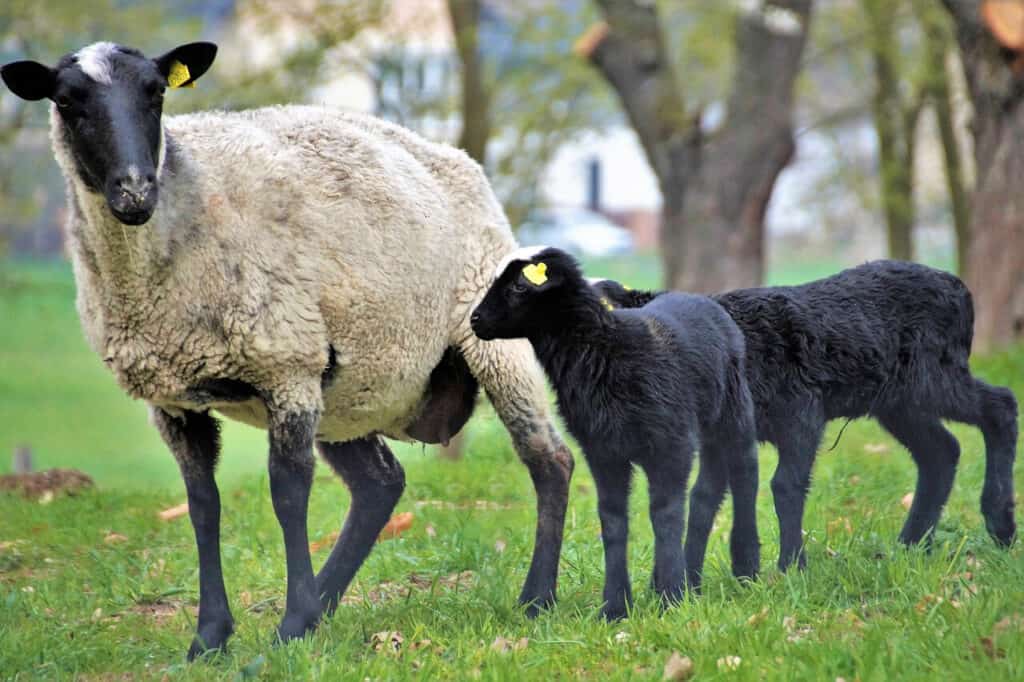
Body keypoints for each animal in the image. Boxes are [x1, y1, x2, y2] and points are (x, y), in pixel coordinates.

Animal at [1, 41, 576, 658]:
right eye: (66, 101)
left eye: (156, 93)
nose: (134, 192)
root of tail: (453, 155)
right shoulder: (173, 399)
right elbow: (202, 504)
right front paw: (212, 638)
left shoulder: (287, 365)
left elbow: (288, 492)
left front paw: (293, 623)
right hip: (352, 388)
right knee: (380, 484)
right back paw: (327, 601)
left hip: (487, 335)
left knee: (549, 460)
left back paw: (537, 600)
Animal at [471, 246, 760, 619]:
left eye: (520, 287)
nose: (474, 320)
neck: (604, 352)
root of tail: (696, 297)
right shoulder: (603, 451)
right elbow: (612, 520)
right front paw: (615, 607)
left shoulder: (671, 445)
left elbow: (665, 514)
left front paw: (671, 598)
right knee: (707, 490)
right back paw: (692, 578)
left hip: (733, 412)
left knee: (744, 474)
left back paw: (746, 569)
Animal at [592, 261, 1019, 569]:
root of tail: (959, 288)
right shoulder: (725, 434)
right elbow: (704, 497)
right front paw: (692, 578)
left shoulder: (803, 412)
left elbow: (784, 485)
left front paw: (791, 566)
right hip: (897, 401)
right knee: (941, 450)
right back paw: (912, 544)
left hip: (933, 375)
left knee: (1000, 405)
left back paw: (1000, 524)